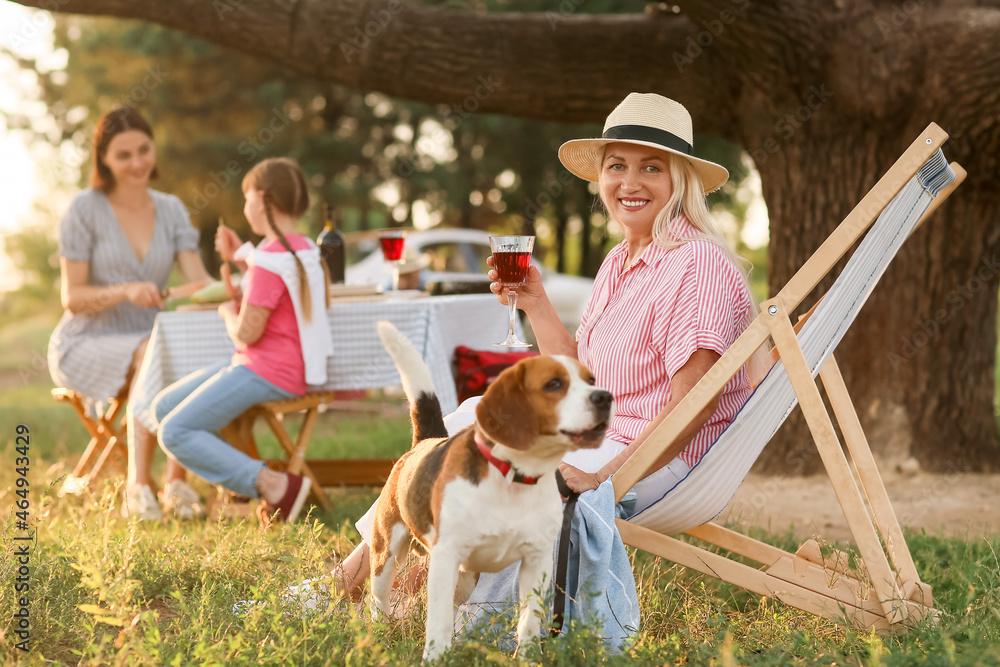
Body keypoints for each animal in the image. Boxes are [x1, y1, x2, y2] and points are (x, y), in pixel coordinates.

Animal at [372, 324, 612, 664]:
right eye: (553, 384)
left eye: (591, 380)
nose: (605, 397)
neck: (514, 477)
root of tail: (428, 440)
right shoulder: (446, 558)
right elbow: (437, 622)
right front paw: (434, 659)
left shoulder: (536, 562)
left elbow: (528, 622)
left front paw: (527, 659)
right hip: (387, 555)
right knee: (378, 600)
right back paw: (379, 632)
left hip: (465, 578)